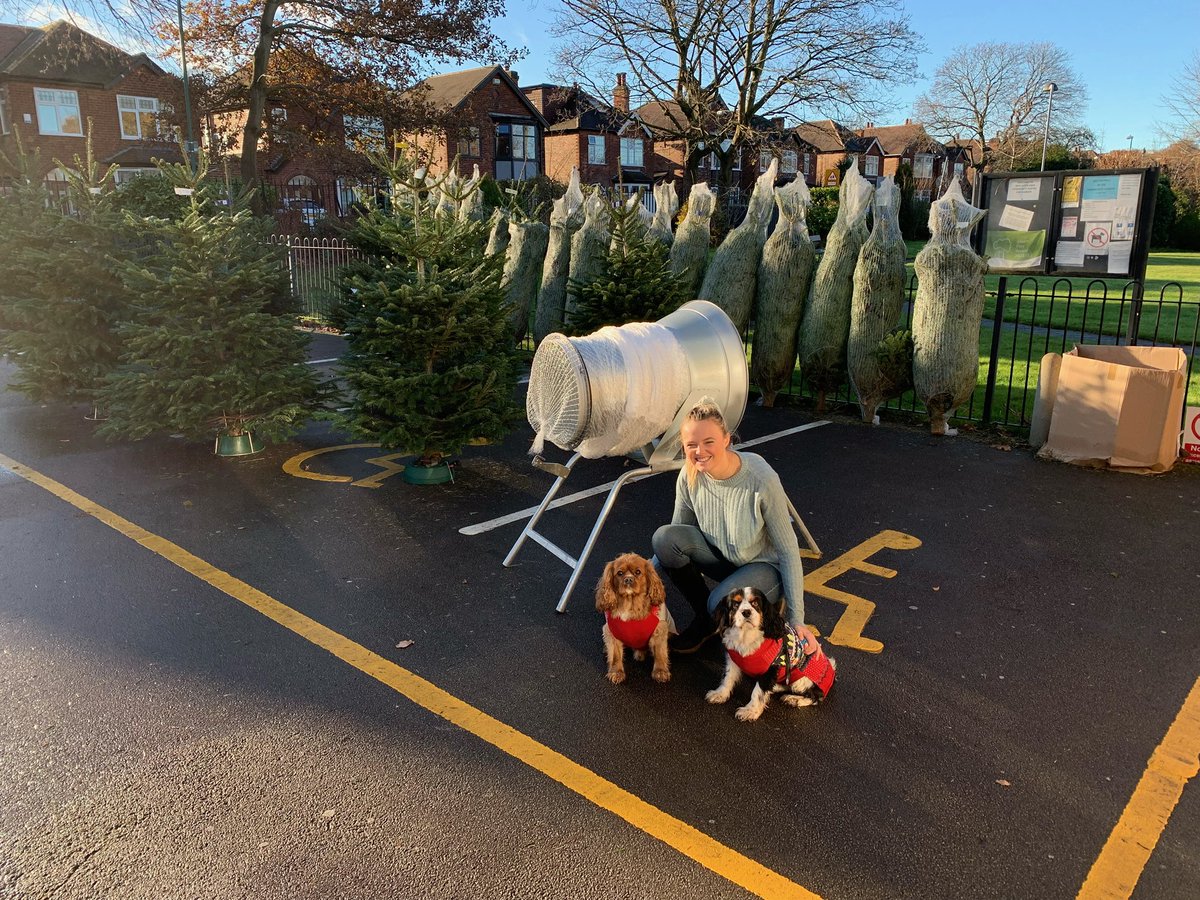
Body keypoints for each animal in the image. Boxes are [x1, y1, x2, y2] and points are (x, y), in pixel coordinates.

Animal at [592, 554, 672, 686]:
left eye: (638, 572)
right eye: (620, 573)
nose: (628, 579)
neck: (631, 604)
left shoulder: (660, 630)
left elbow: (660, 653)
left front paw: (660, 672)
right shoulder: (611, 632)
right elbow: (615, 655)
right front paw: (616, 672)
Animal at [700, 585, 835, 724]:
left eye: (755, 603)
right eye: (735, 604)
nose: (746, 612)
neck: (746, 635)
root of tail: (832, 668)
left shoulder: (771, 668)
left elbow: (757, 692)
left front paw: (750, 711)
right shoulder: (733, 659)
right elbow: (728, 677)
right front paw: (720, 694)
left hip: (802, 681)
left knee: (815, 697)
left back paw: (793, 699)